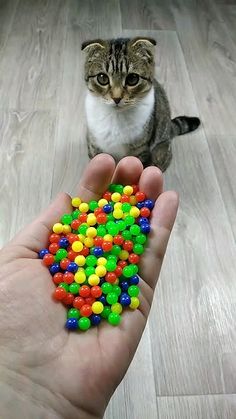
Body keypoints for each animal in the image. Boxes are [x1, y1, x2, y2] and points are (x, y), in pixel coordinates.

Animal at [82, 37, 200, 171]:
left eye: (132, 79)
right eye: (102, 78)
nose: (116, 98)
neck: (116, 117)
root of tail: (170, 130)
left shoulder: (140, 151)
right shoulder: (94, 147)